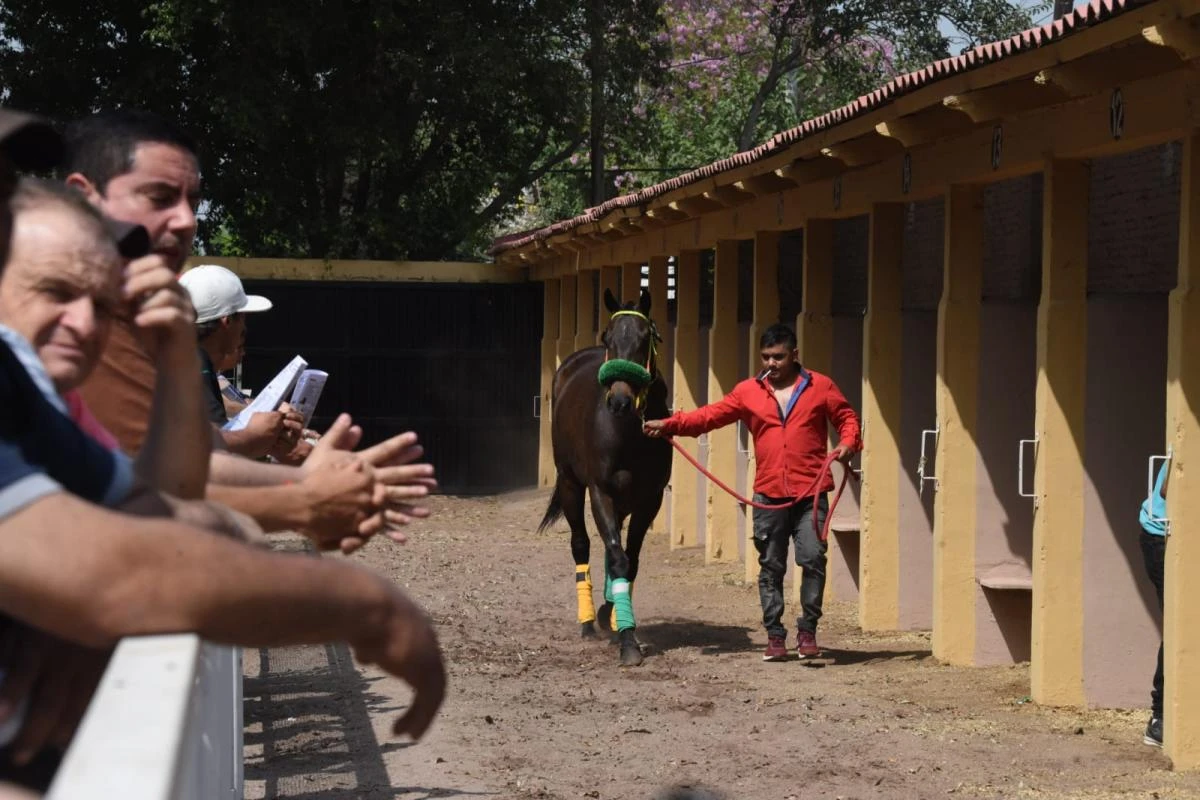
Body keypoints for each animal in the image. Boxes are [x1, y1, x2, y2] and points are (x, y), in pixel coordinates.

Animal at [537, 284, 672, 666]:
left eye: (645, 337)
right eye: (607, 336)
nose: (620, 401)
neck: (628, 433)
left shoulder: (650, 499)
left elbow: (630, 559)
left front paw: (614, 617)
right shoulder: (601, 492)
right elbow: (616, 555)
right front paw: (626, 639)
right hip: (570, 483)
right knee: (581, 544)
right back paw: (587, 621)